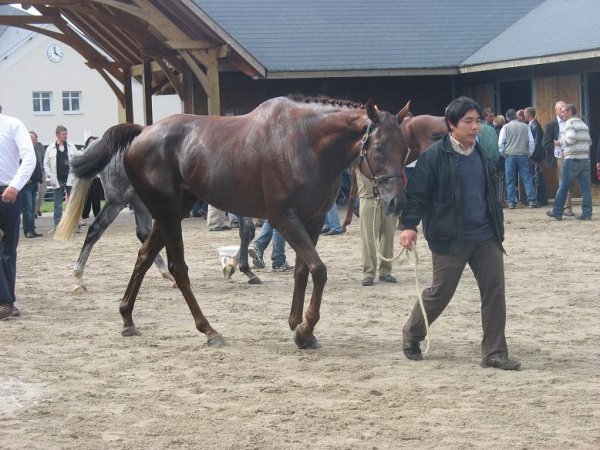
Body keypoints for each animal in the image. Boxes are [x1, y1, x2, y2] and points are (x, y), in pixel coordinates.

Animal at [64, 95, 412, 348]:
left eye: (405, 149)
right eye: (379, 147)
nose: (397, 202)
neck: (304, 142)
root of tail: (142, 133)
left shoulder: (311, 221)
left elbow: (303, 270)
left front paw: (298, 325)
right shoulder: (284, 218)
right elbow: (319, 270)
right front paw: (304, 329)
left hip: (170, 212)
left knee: (144, 256)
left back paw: (127, 319)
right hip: (165, 211)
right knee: (176, 267)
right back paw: (209, 330)